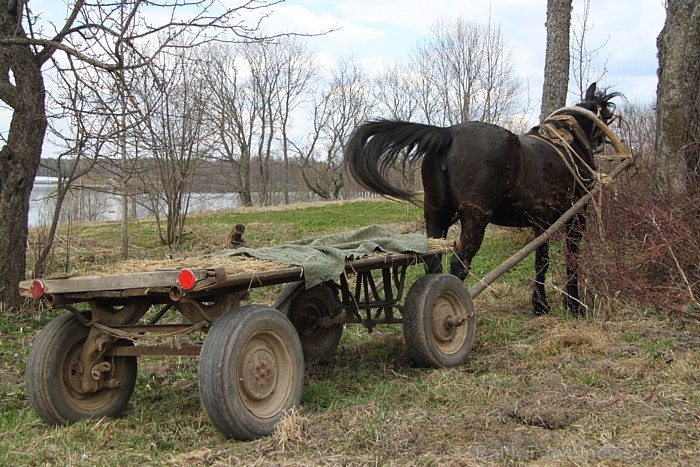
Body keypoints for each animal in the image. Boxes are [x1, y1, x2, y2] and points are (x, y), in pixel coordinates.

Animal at [342, 84, 620, 318]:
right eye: (607, 114)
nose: (601, 141)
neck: (568, 144)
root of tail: (447, 133)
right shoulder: (576, 215)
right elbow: (572, 258)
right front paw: (573, 304)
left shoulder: (542, 222)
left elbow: (541, 261)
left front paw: (540, 305)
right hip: (475, 217)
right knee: (459, 264)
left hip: (436, 214)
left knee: (433, 260)